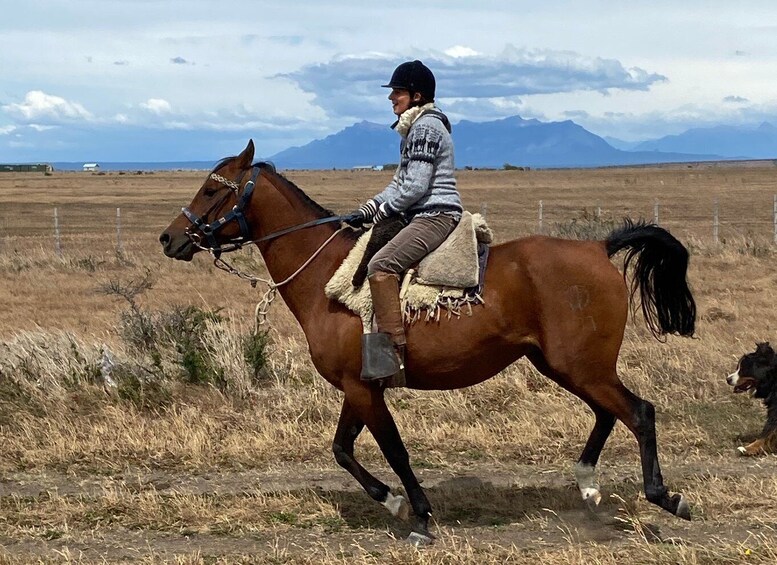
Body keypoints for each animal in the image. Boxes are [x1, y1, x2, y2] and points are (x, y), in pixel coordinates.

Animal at [159, 138, 696, 540]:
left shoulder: (362, 389)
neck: (327, 276)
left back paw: (665, 497)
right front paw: (394, 502)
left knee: (638, 412)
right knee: (609, 413)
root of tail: (599, 247)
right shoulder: (359, 387)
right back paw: (587, 484)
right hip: (566, 365)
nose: (169, 238)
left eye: (211, 190)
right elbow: (342, 450)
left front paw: (417, 513)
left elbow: (392, 450)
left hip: (581, 365)